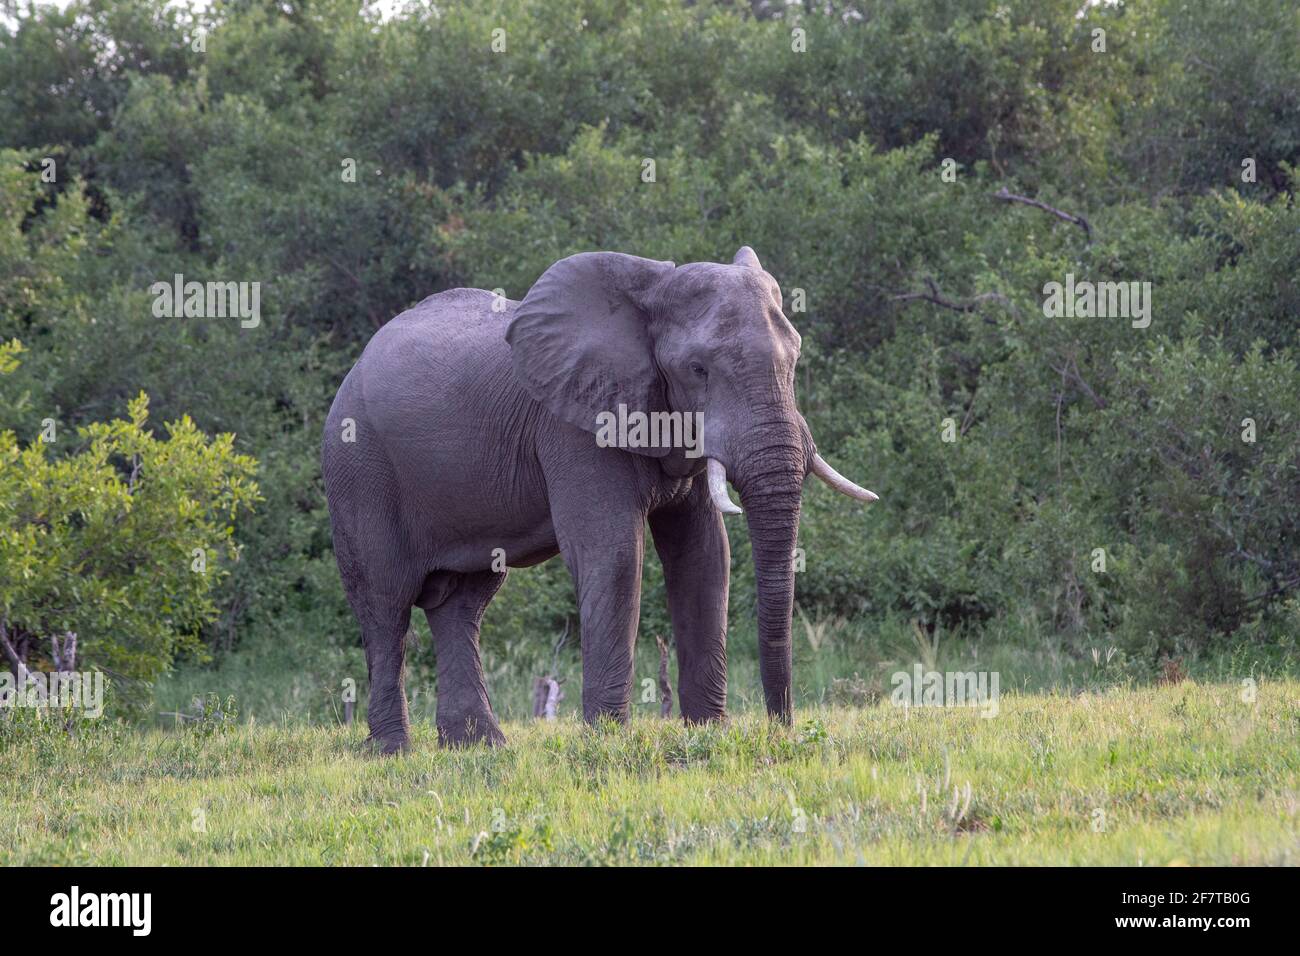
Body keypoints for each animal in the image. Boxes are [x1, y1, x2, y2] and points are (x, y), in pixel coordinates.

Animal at [319, 248, 878, 754]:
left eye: (795, 358)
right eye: (698, 369)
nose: (782, 729)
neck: (651, 289)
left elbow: (704, 556)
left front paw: (708, 735)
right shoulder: (572, 425)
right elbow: (614, 554)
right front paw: (607, 740)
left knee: (461, 604)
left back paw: (480, 748)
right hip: (358, 470)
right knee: (386, 605)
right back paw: (394, 751)